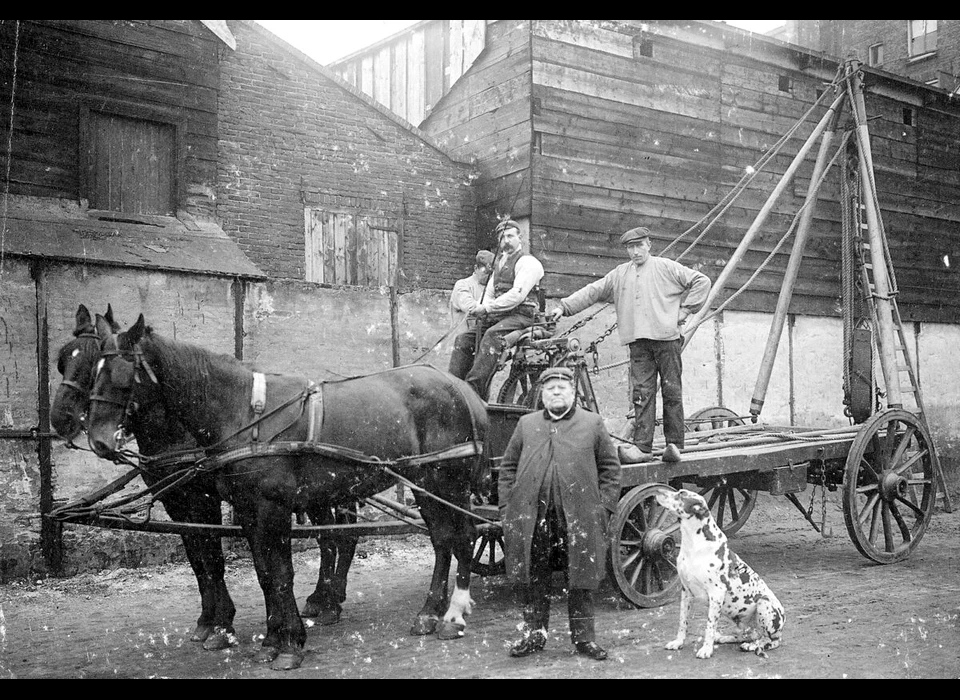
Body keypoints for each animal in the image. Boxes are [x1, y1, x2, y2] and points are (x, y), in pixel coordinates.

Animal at [49, 304, 360, 652]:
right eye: (63, 360)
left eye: (93, 367)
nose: (60, 418)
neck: (180, 431)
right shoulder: (177, 503)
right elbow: (199, 562)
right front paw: (208, 621)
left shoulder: (204, 501)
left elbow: (213, 560)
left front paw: (222, 624)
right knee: (335, 536)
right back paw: (327, 598)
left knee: (336, 537)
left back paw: (327, 601)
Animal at [83, 314, 488, 668]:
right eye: (94, 373)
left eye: (122, 375)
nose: (98, 441)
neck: (245, 413)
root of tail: (460, 388)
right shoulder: (247, 510)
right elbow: (263, 574)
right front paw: (272, 641)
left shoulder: (269, 507)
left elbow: (279, 573)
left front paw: (289, 644)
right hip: (423, 484)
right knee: (441, 540)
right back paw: (429, 612)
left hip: (445, 482)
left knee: (463, 536)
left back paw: (451, 614)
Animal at [656, 490, 784, 660]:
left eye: (681, 494)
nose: (658, 491)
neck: (693, 545)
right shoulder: (685, 591)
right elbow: (682, 622)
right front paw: (678, 642)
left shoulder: (716, 594)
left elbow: (709, 626)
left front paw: (706, 649)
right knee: (747, 635)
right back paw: (725, 638)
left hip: (765, 604)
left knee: (770, 641)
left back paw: (752, 646)